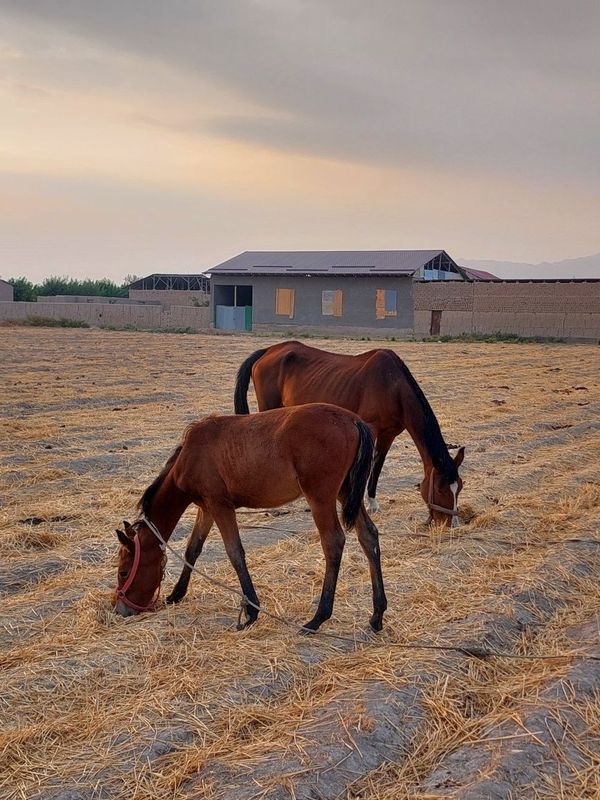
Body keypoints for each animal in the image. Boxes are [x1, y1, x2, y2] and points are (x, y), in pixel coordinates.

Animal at [234, 342, 464, 524]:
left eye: (459, 487)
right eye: (440, 489)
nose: (451, 523)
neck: (392, 385)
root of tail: (268, 351)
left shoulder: (388, 435)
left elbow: (377, 467)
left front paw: (373, 503)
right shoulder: (370, 430)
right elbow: (367, 466)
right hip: (268, 409)